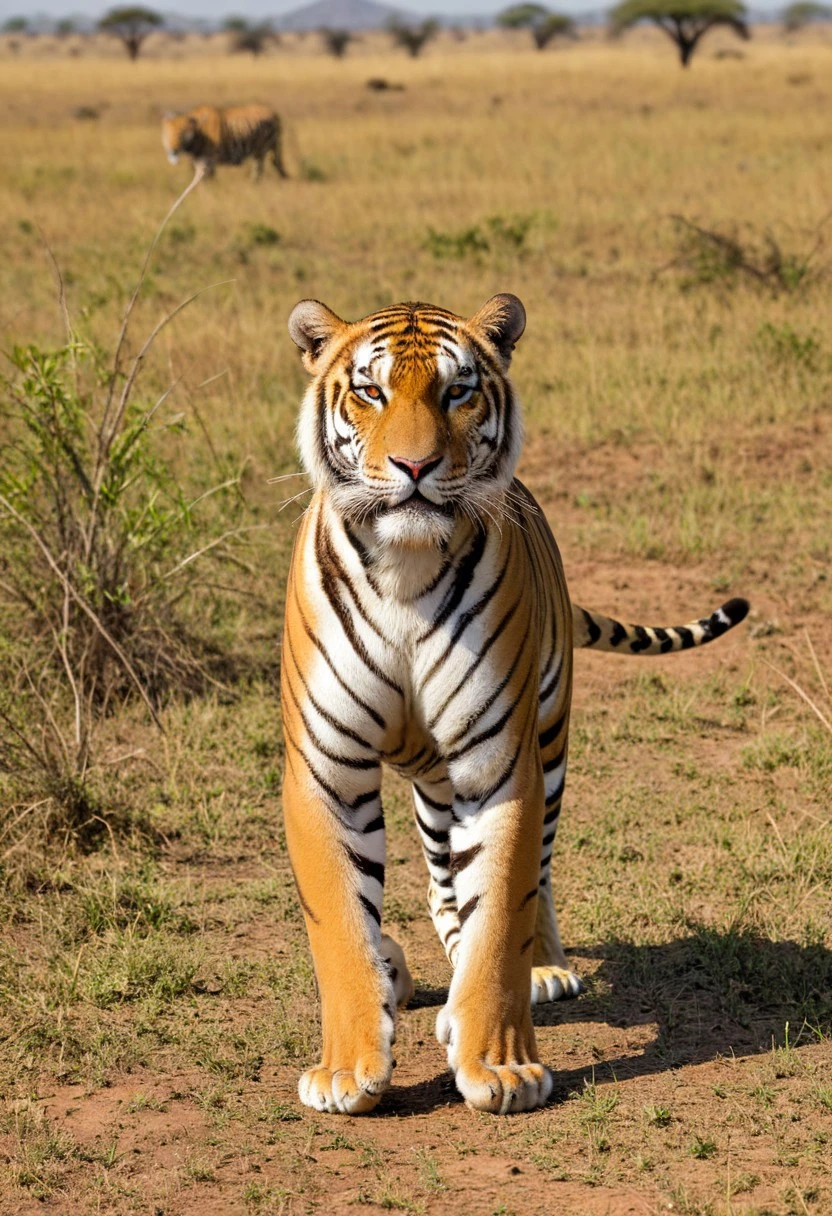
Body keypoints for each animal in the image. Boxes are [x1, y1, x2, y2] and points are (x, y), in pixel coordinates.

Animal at [281, 292, 749, 1116]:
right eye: (369, 391)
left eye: (457, 391)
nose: (415, 466)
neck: (405, 566)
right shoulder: (325, 769)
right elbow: (339, 925)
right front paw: (346, 1068)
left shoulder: (500, 767)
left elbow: (501, 909)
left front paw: (501, 1067)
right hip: (436, 782)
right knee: (441, 884)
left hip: (548, 741)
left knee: (534, 876)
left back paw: (536, 974)